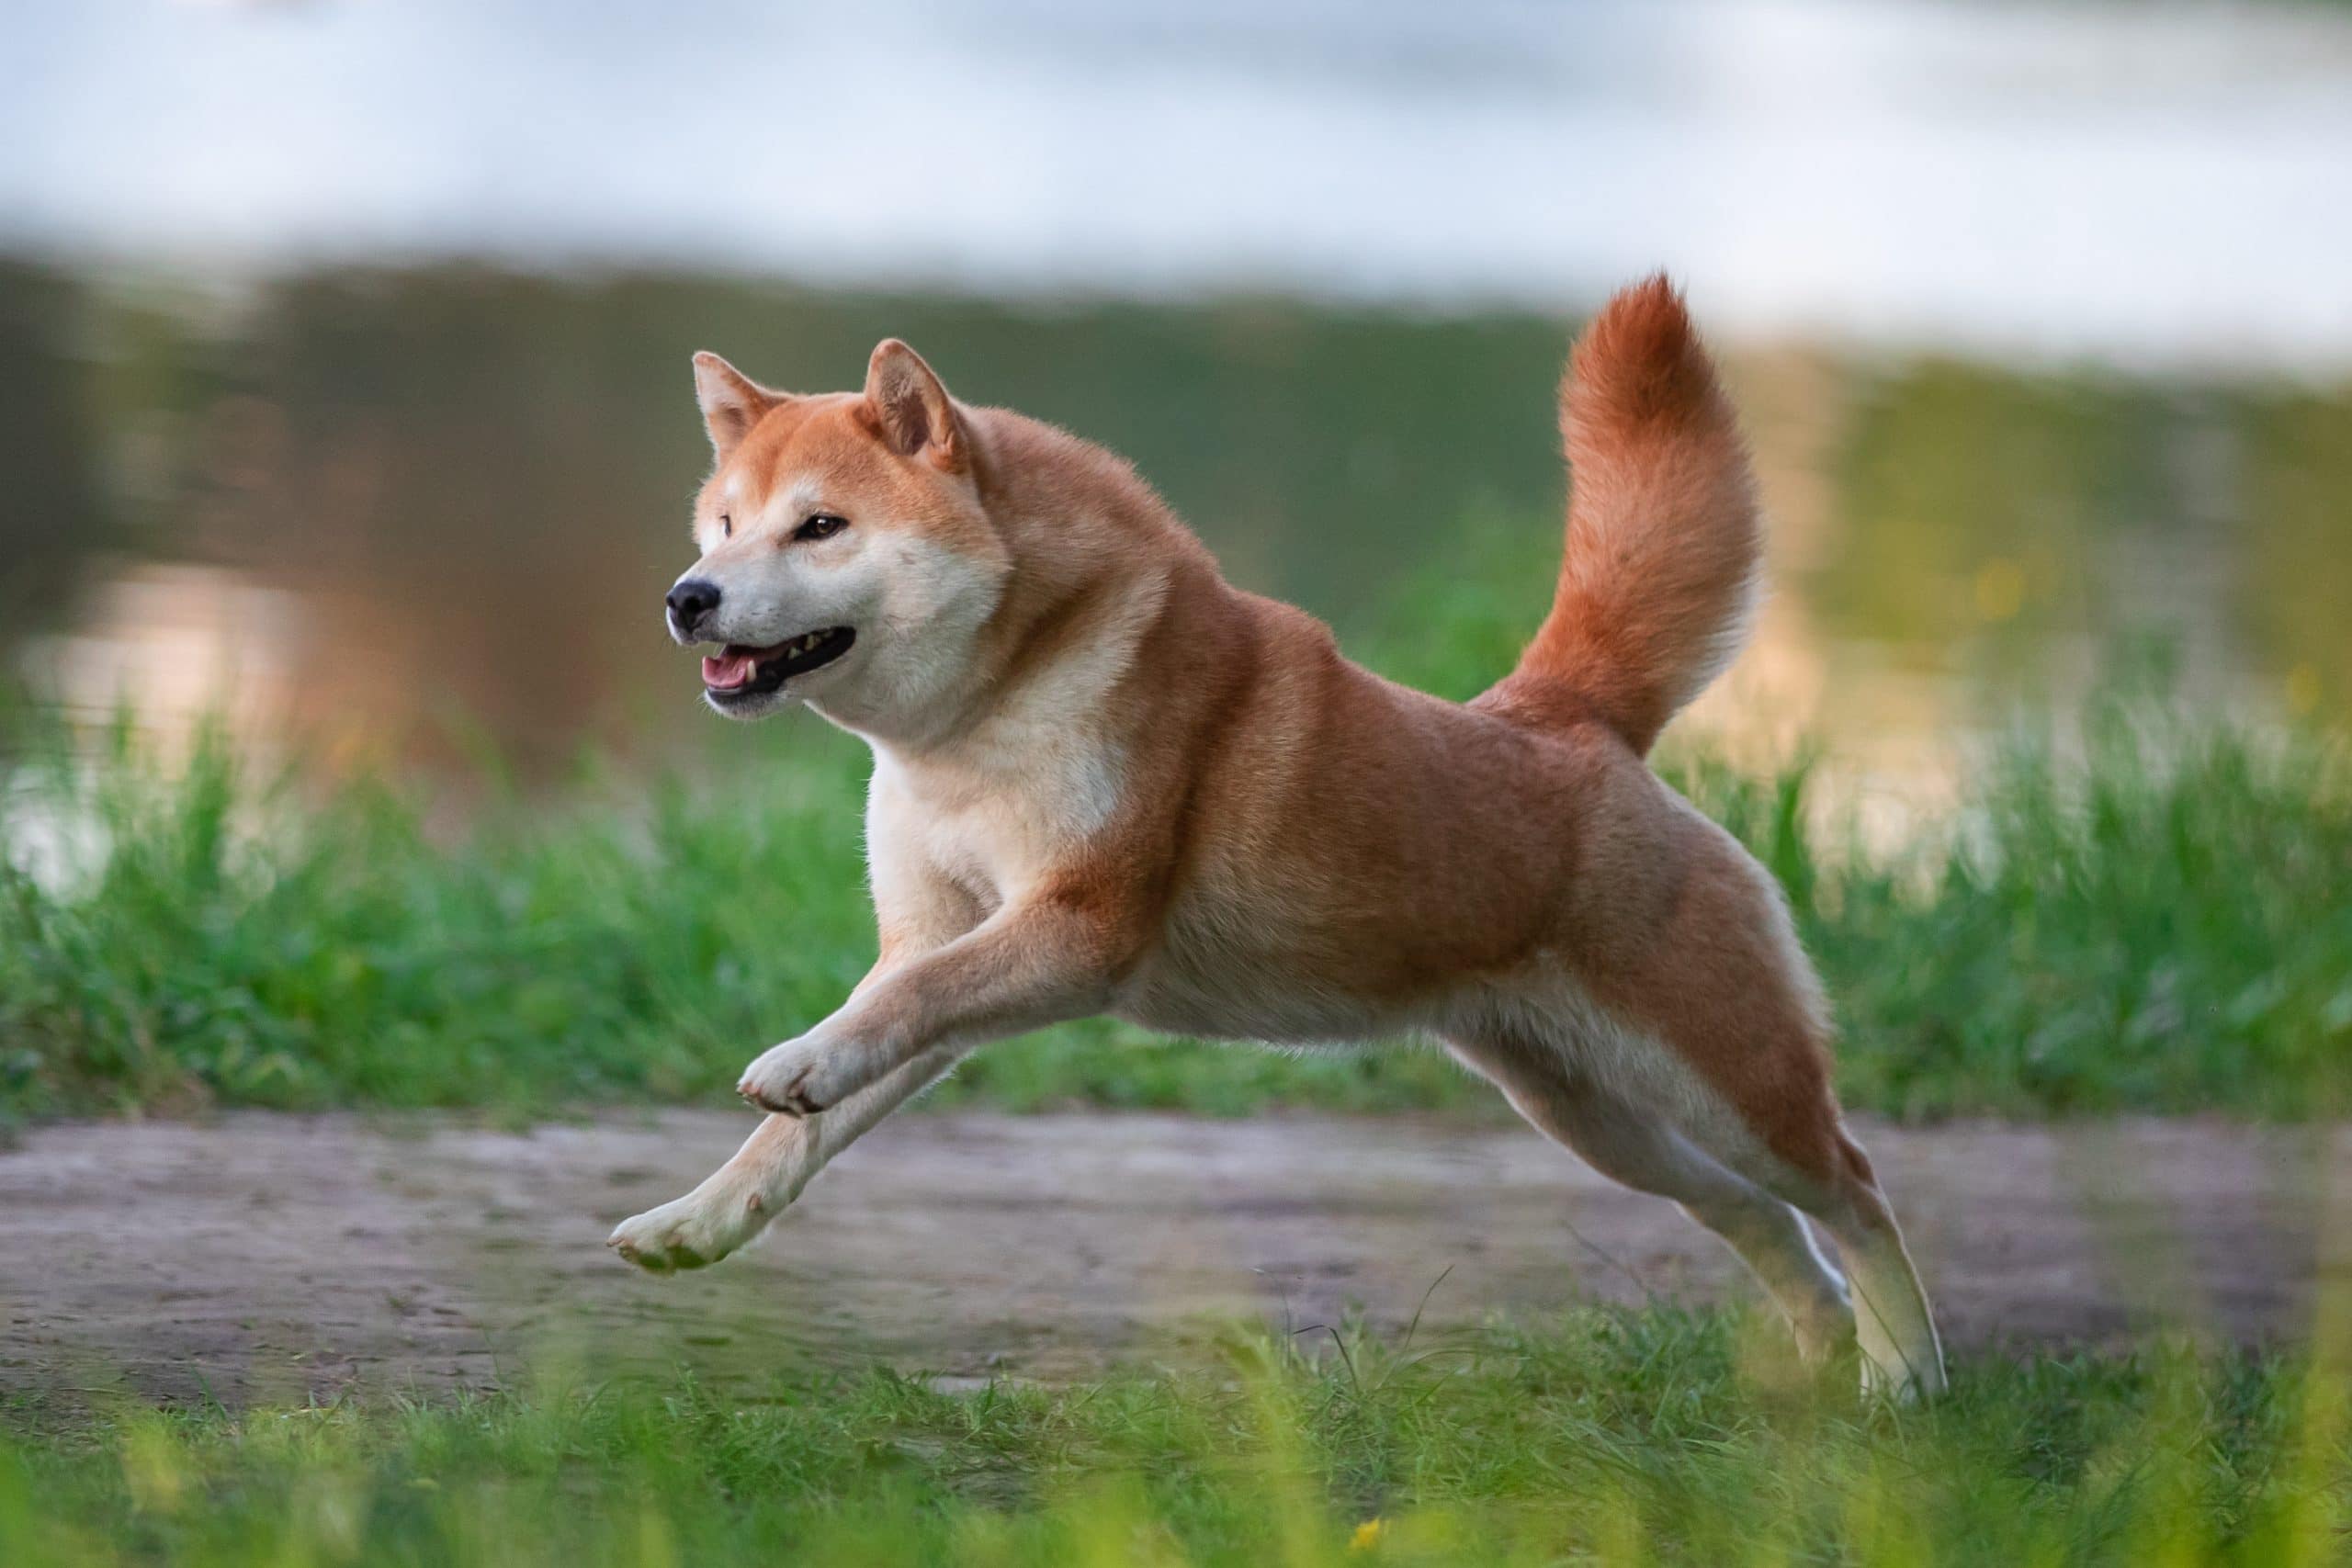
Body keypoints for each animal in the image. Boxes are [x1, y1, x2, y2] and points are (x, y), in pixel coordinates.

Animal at [606, 278, 1947, 1401]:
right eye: (721, 524)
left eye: (818, 527)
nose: (684, 597)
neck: (982, 719)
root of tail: (1569, 720)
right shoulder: (941, 939)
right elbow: (811, 1115)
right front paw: (699, 1219)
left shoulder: (1076, 930)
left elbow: (884, 1016)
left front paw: (796, 1059)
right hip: (1590, 1112)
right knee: (1754, 1215)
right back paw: (1825, 1351)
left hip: (1721, 1078)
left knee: (1854, 1186)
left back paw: (1906, 1375)